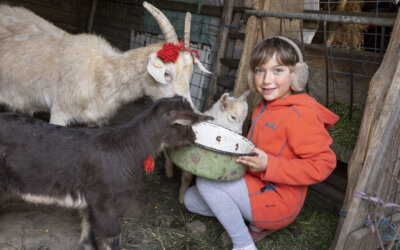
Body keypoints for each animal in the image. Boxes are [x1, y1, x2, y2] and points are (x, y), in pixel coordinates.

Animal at [0, 1, 211, 127]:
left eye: (190, 75)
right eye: (167, 73)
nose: (190, 114)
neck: (103, 71)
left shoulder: (96, 121)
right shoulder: (60, 111)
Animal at [0, 94, 212, 249]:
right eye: (187, 125)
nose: (194, 138)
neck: (127, 150)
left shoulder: (89, 203)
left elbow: (88, 237)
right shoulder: (103, 202)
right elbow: (113, 236)